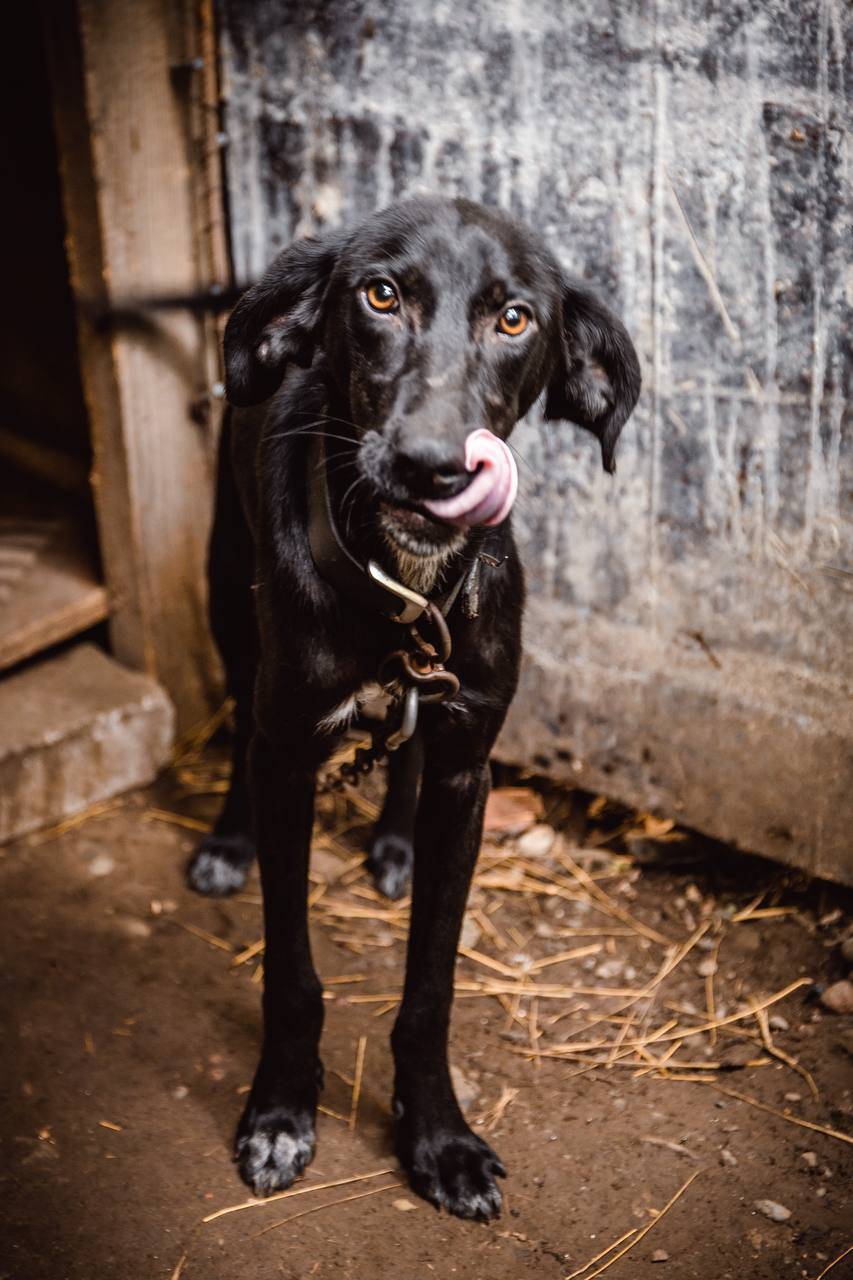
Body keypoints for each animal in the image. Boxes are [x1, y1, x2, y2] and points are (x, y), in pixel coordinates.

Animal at [188, 197, 637, 1218]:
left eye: (514, 318)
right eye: (380, 295)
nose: (431, 467)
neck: (403, 591)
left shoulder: (469, 766)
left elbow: (430, 987)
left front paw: (436, 1137)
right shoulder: (288, 755)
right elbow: (291, 973)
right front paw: (281, 1110)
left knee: (408, 751)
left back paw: (394, 844)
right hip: (227, 592)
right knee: (239, 718)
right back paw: (228, 841)